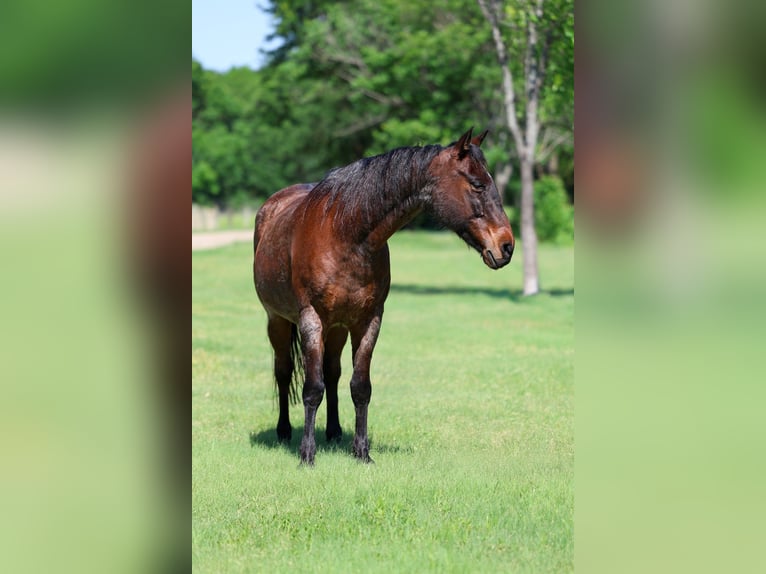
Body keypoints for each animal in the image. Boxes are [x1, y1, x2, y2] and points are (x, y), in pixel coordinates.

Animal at [253, 128, 514, 465]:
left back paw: (334, 431)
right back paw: (284, 431)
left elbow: (359, 386)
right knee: (284, 372)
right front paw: (307, 455)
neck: (347, 236)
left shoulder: (368, 321)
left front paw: (362, 452)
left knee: (333, 373)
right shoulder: (311, 319)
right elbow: (312, 388)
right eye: (477, 184)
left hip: (337, 329)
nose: (507, 246)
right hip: (278, 321)